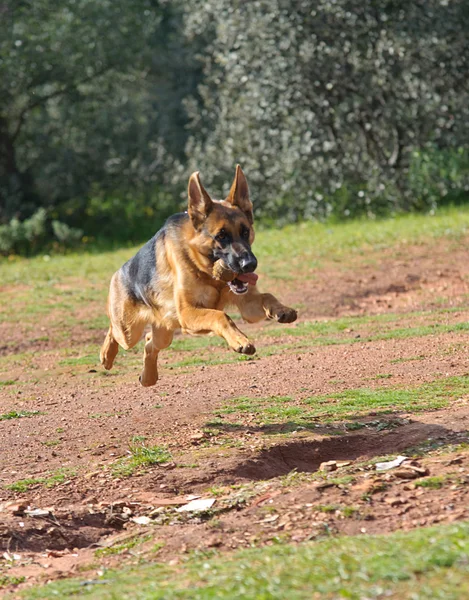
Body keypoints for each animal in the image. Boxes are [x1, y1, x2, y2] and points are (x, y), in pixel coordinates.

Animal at [99, 166, 296, 386]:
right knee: (114, 330)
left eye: (245, 232)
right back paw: (106, 355)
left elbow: (267, 296)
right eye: (221, 236)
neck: (208, 274)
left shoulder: (248, 306)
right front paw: (240, 340)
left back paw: (148, 377)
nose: (250, 265)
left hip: (164, 332)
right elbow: (221, 315)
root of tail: (120, 271)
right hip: (129, 330)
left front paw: (282, 310)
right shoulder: (188, 313)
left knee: (150, 341)